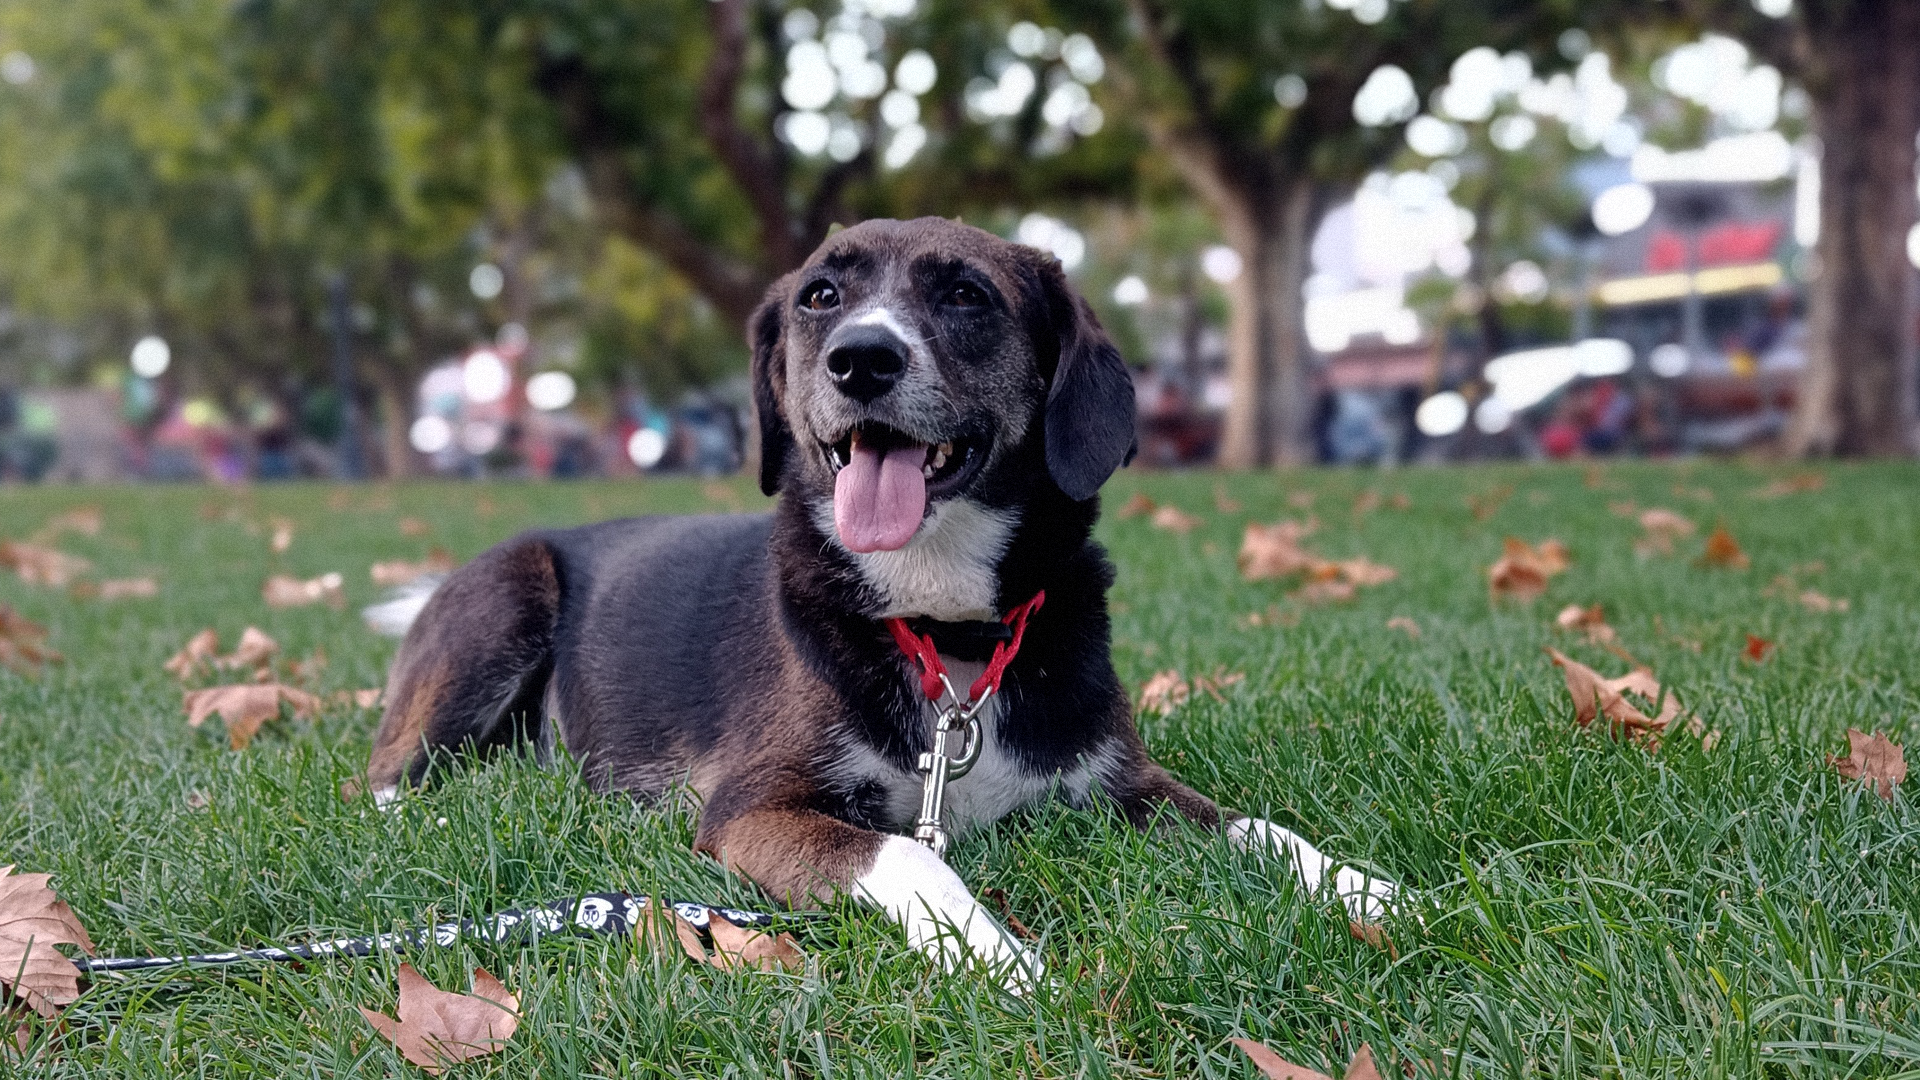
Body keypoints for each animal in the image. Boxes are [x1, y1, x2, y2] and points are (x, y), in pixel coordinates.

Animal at [366, 216, 1405, 983]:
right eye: (821, 296)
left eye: (965, 294)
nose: (861, 358)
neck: (944, 627)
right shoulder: (752, 808)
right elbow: (911, 851)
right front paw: (1004, 960)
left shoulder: (1119, 782)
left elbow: (1259, 828)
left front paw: (1375, 891)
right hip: (507, 596)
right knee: (382, 783)